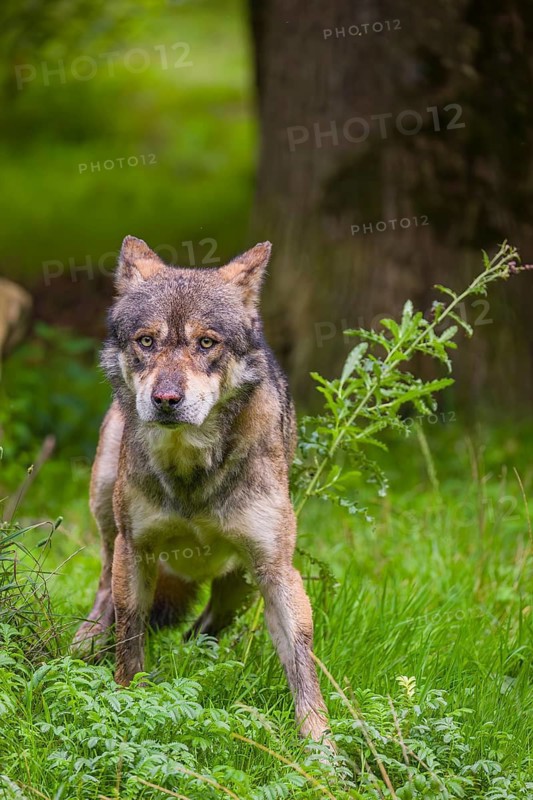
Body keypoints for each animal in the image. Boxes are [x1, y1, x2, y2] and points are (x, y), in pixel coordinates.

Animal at [72, 235, 330, 742]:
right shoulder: (137, 552)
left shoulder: (276, 570)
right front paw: (126, 703)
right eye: (146, 341)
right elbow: (130, 642)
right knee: (105, 590)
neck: (190, 470)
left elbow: (302, 662)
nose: (166, 400)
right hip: (108, 510)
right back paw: (85, 643)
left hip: (243, 586)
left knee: (204, 630)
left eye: (206, 343)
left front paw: (321, 746)